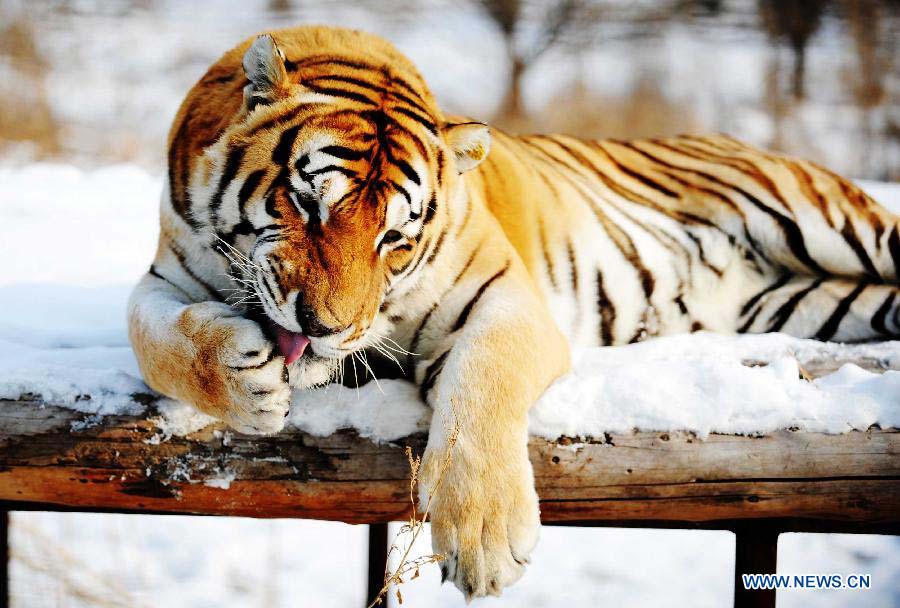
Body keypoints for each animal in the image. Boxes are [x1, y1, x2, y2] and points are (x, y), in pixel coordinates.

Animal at [126, 23, 900, 600]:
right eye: (306, 202)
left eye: (394, 239)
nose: (323, 328)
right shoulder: (166, 269)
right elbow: (152, 336)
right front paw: (245, 381)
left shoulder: (506, 298)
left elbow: (482, 381)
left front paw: (485, 538)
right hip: (815, 302)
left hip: (839, 226)